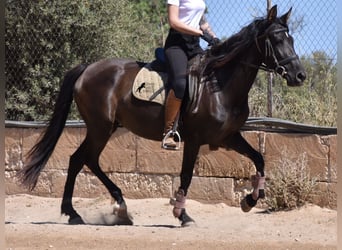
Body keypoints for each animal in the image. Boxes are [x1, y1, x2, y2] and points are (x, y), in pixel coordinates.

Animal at [18, 4, 306, 226]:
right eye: (277, 40)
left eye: (291, 40)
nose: (300, 76)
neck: (219, 84)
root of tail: (88, 68)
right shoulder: (194, 139)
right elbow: (186, 175)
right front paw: (182, 214)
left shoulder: (228, 136)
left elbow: (259, 158)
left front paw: (250, 199)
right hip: (100, 127)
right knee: (83, 159)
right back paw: (88, 211)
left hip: (107, 127)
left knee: (82, 160)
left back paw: (99, 210)